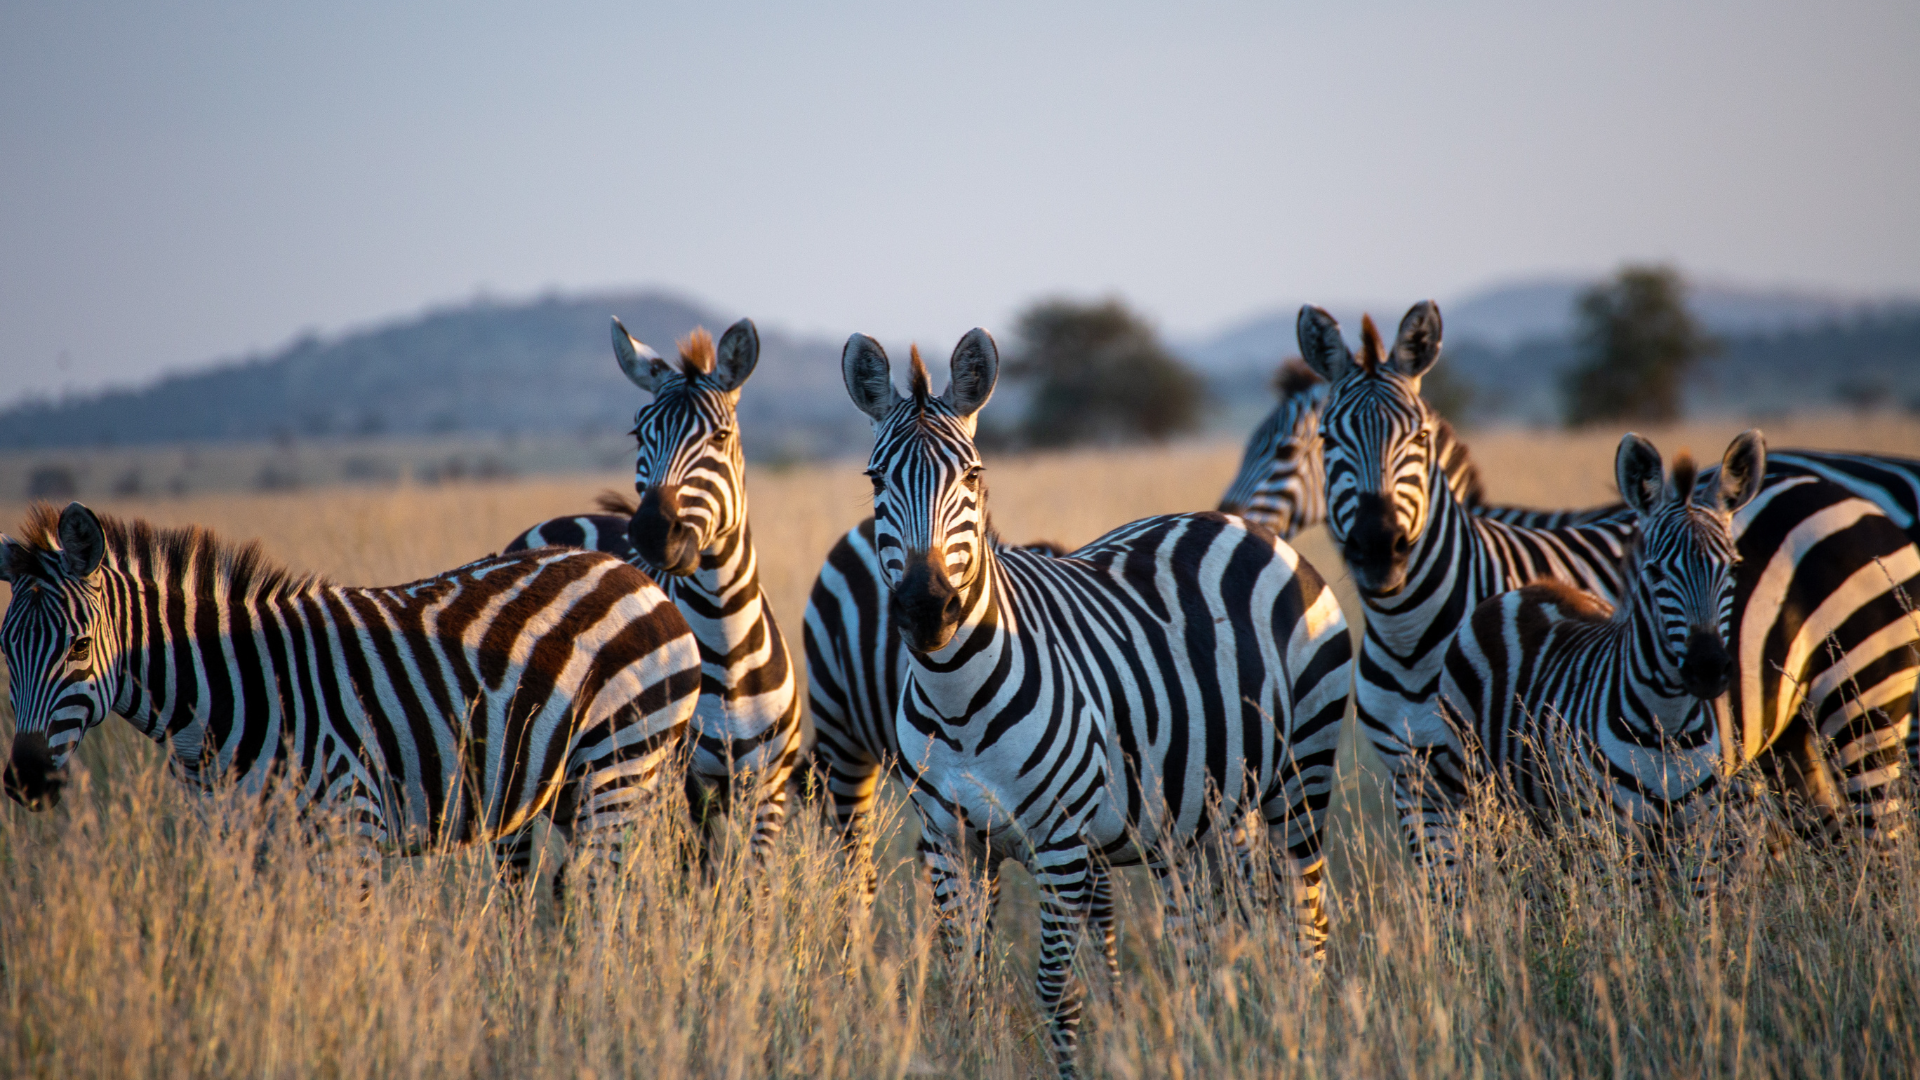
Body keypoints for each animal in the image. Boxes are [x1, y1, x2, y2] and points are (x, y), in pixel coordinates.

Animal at [1, 501, 702, 900]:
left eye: (80, 645)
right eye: (3, 650)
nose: (26, 778)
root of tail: (633, 573)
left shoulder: (350, 827)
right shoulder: (239, 845)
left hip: (618, 765)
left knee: (606, 898)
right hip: (566, 786)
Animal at [505, 318, 803, 872]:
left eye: (721, 436)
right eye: (639, 433)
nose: (651, 531)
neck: (726, 640)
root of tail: (565, 521)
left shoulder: (767, 792)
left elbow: (749, 887)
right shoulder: (678, 791)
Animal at [842, 328, 1352, 1077]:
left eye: (973, 478)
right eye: (877, 482)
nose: (927, 608)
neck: (958, 701)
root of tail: (1244, 528)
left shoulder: (1061, 845)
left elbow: (1056, 990)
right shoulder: (948, 844)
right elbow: (964, 984)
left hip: (1300, 776)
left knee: (1305, 924)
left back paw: (1305, 1038)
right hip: (1202, 817)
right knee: (1204, 942)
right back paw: (1211, 1041)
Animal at [1425, 432, 1763, 893]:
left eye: (1732, 567)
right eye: (1655, 573)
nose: (1708, 668)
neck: (1668, 725)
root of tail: (1526, 590)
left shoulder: (1701, 835)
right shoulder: (1615, 837)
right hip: (1478, 789)